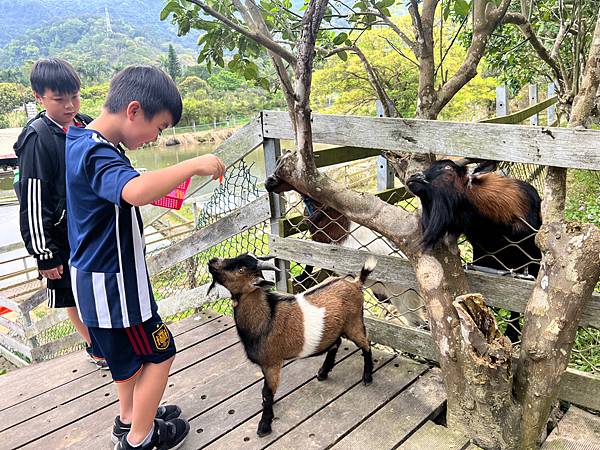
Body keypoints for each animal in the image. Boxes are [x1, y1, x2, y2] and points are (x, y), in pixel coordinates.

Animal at [206, 255, 376, 438]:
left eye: (241, 269)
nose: (212, 261)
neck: (266, 318)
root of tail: (356, 283)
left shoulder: (271, 363)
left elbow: (266, 393)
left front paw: (264, 426)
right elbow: (267, 392)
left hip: (354, 324)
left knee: (366, 344)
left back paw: (367, 377)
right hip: (335, 330)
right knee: (335, 344)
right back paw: (323, 373)